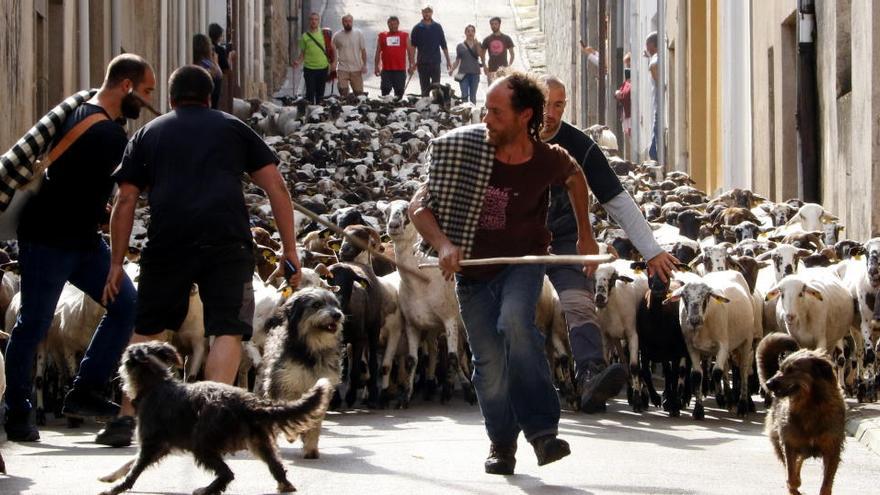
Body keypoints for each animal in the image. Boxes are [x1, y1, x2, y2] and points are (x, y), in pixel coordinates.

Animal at [99, 342, 332, 495]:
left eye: (125, 359)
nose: (116, 370)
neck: (156, 383)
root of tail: (249, 403)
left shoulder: (151, 444)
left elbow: (134, 469)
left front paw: (116, 488)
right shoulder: (162, 446)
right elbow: (128, 463)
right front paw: (110, 476)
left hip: (202, 444)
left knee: (227, 474)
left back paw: (206, 489)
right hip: (259, 443)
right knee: (276, 467)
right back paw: (284, 485)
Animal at [260, 286, 346, 462]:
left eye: (336, 304)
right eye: (317, 304)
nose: (337, 315)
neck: (310, 352)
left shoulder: (322, 390)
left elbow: (314, 422)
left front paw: (311, 447)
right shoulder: (286, 385)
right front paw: (292, 433)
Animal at [756, 334, 844, 495]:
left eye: (791, 370)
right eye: (781, 369)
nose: (769, 383)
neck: (811, 406)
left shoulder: (832, 448)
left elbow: (826, 482)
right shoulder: (788, 443)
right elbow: (791, 477)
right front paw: (794, 484)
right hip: (779, 440)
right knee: (793, 465)